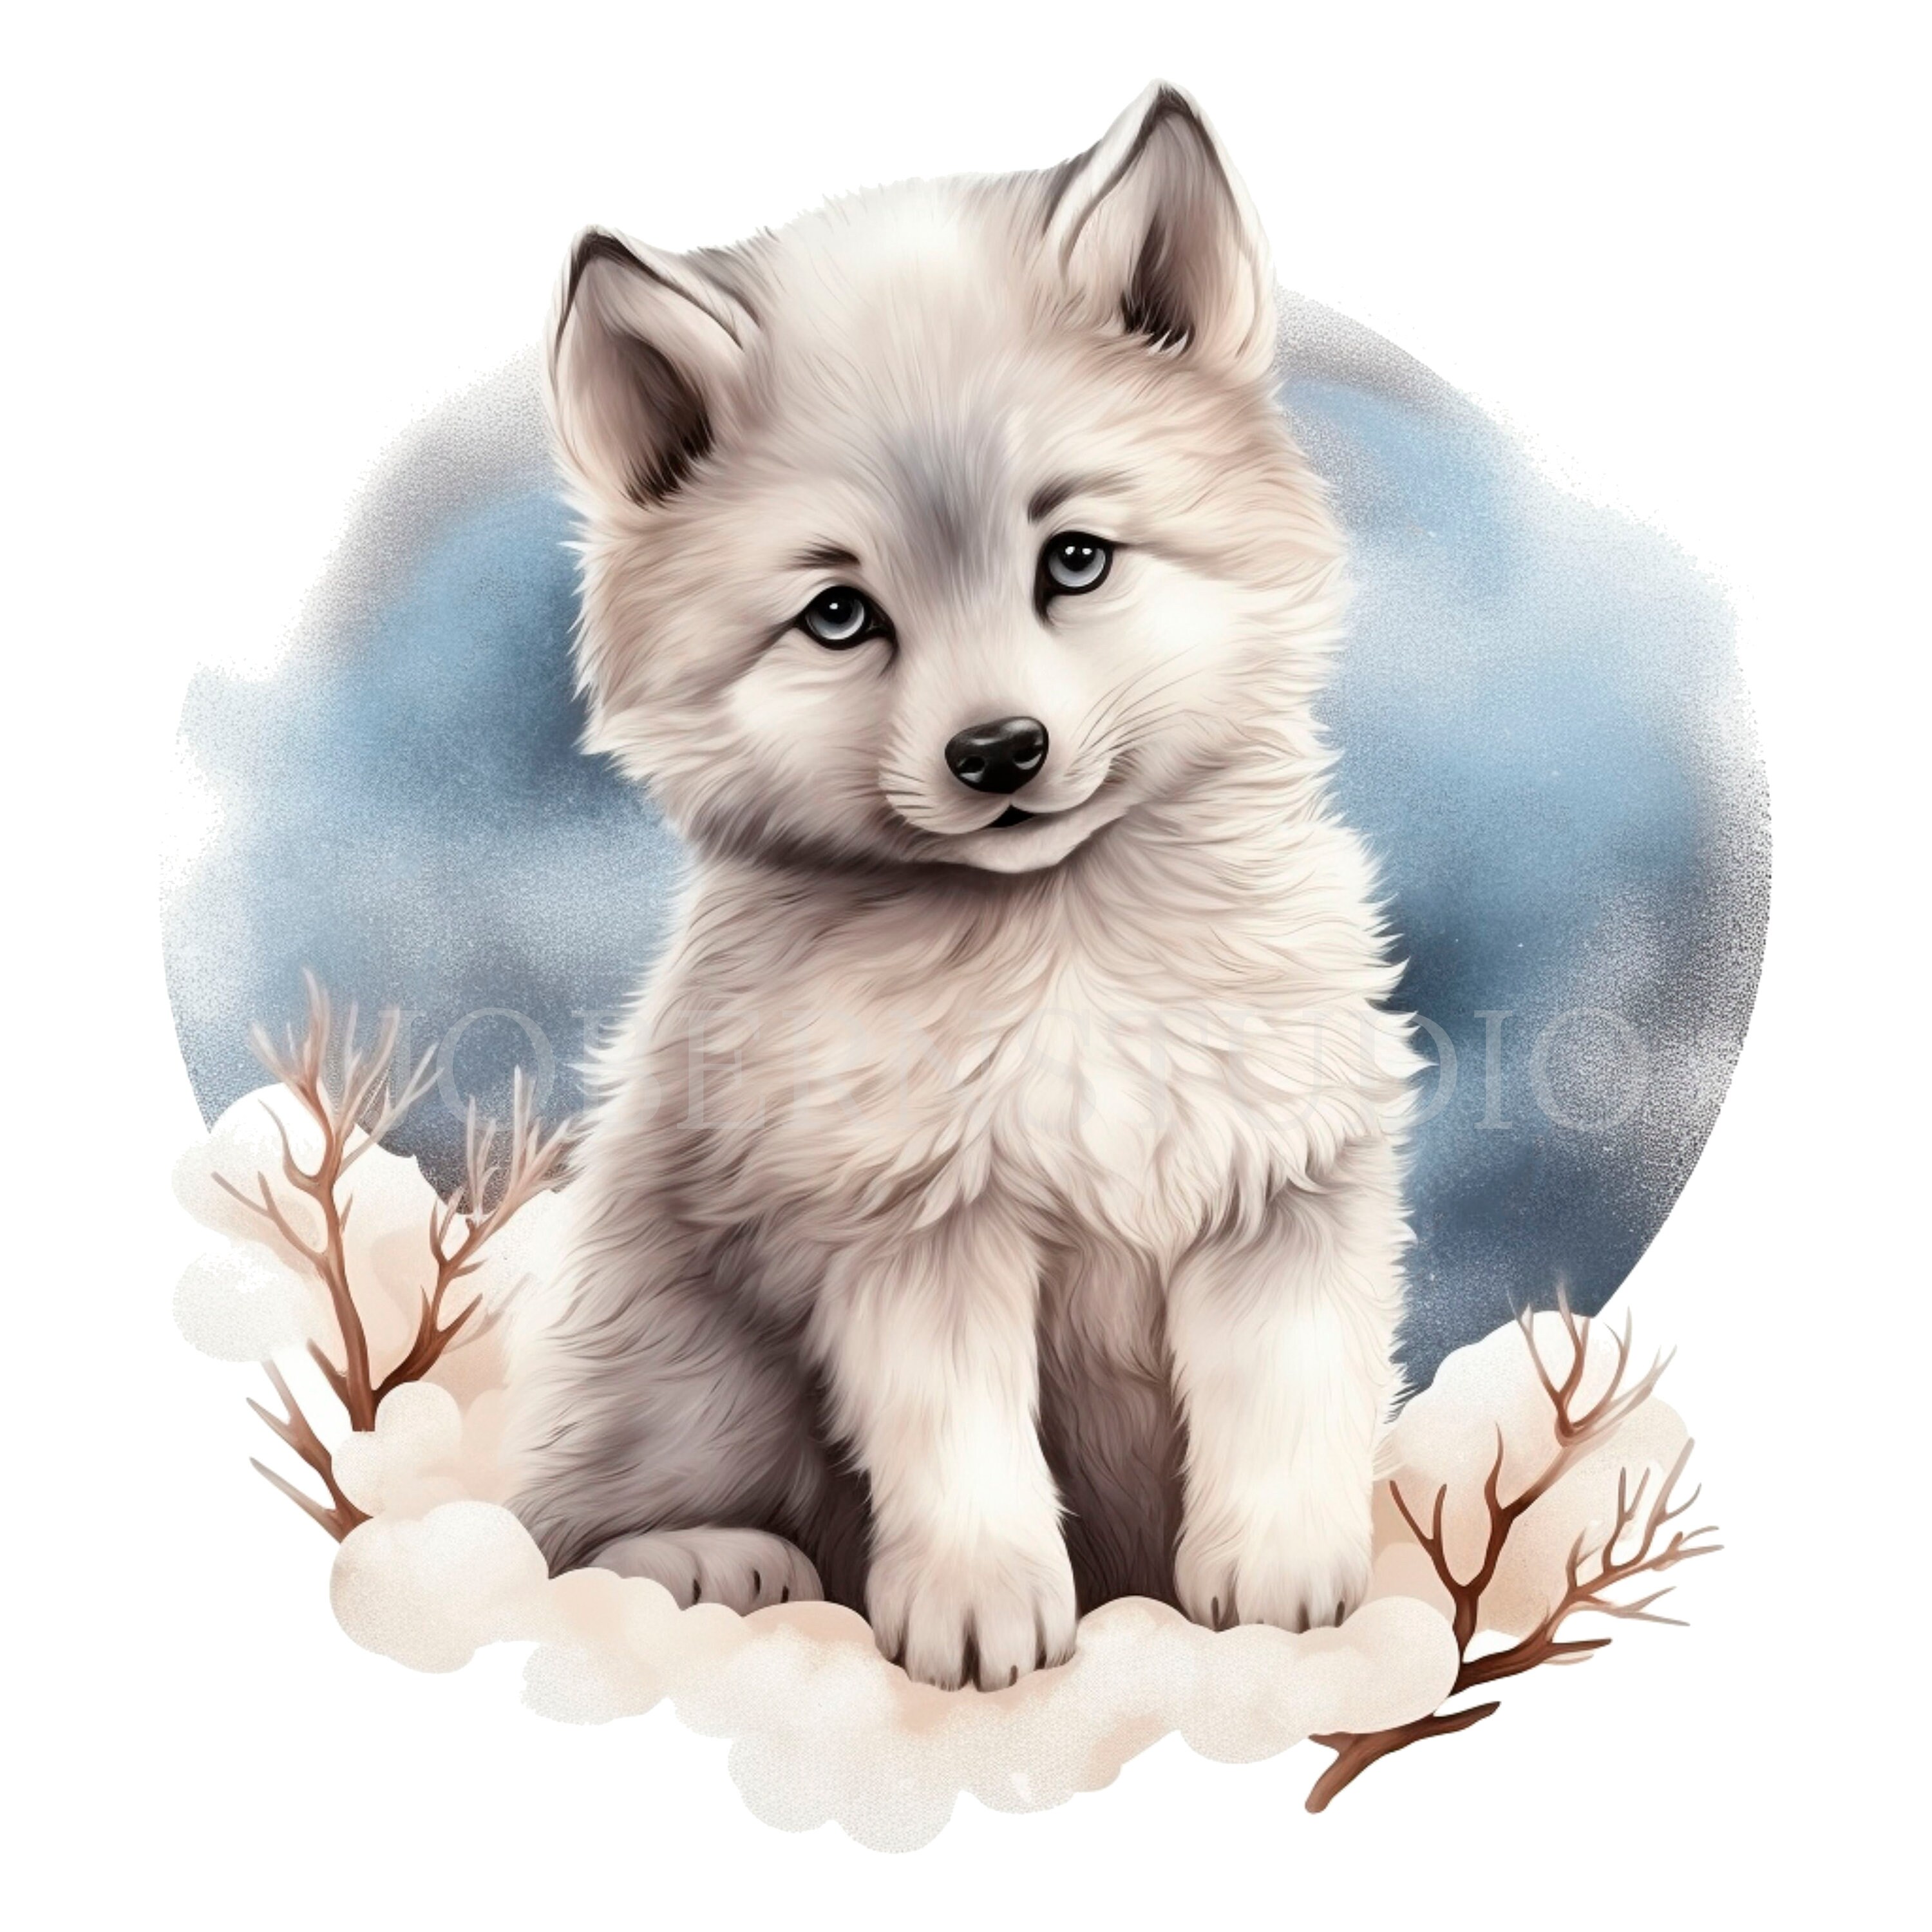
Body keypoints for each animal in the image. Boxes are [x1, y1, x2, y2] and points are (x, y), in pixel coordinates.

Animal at [507, 82, 1421, 1691]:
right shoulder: (914, 1225)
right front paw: (983, 1611)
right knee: (569, 1525)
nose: (999, 753)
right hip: (692, 1357)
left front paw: (1283, 1579)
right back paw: (713, 1556)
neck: (1060, 951)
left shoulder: (1282, 1183)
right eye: (838, 615)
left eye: (1076, 558)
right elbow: (965, 1451)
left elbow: (1285, 1403)